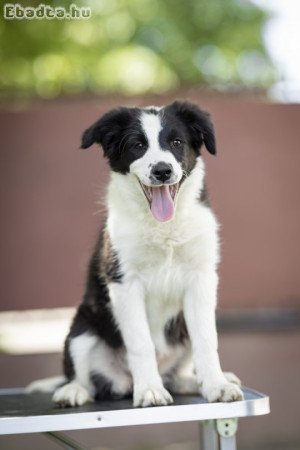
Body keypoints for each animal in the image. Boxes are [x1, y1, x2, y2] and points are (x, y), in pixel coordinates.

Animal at [27, 101, 244, 408]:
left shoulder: (200, 279)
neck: (163, 227)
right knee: (85, 378)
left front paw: (217, 385)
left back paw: (197, 381)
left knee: (177, 375)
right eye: (137, 145)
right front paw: (150, 390)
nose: (162, 171)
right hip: (81, 330)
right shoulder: (123, 283)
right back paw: (74, 391)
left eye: (176, 142)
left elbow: (206, 339)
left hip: (181, 334)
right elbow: (141, 344)